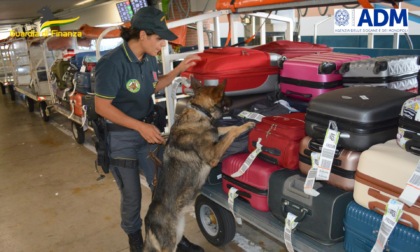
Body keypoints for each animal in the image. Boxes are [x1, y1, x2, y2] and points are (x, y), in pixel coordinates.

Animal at [144, 78, 256, 250]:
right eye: (224, 95)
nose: (234, 101)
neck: (199, 111)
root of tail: (148, 222)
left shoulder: (215, 133)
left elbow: (225, 128)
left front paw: (243, 124)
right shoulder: (213, 155)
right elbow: (230, 133)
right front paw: (244, 127)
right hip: (169, 245)